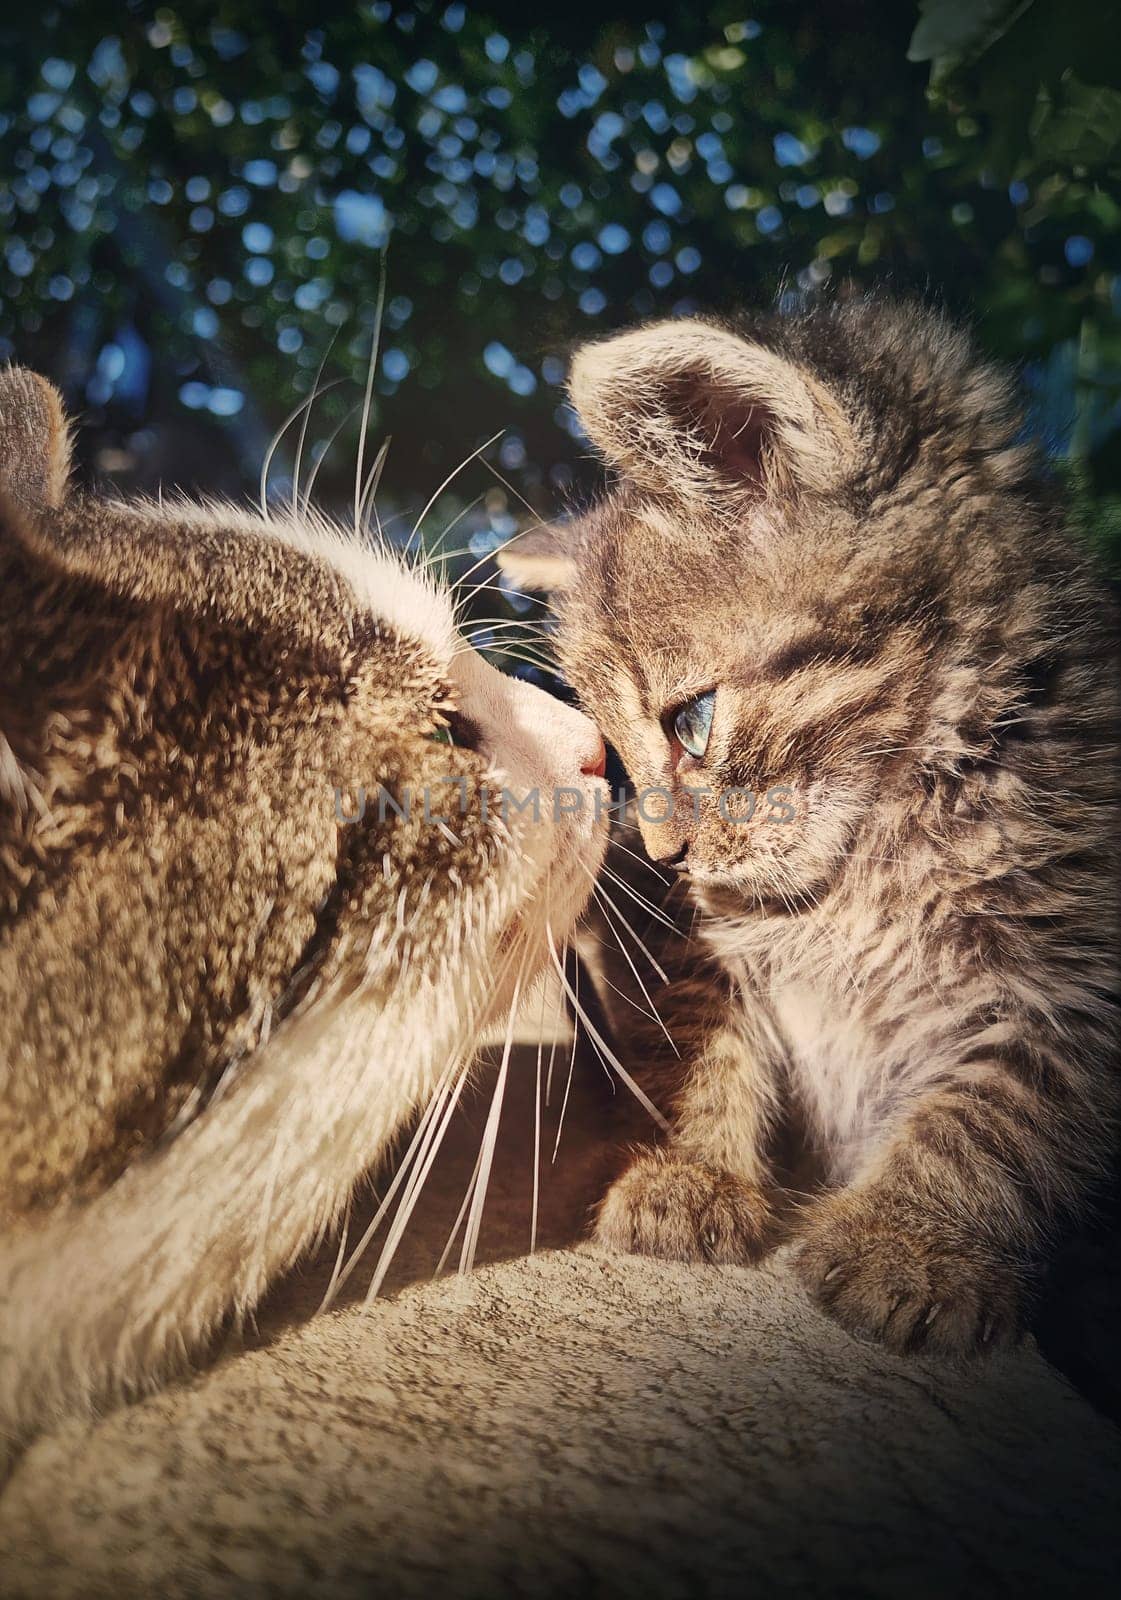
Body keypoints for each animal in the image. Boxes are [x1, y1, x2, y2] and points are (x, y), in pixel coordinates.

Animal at [502, 297, 1119, 1350]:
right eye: (618, 756)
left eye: (693, 721)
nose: (668, 850)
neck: (885, 835)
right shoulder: (669, 927)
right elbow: (695, 1039)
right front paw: (694, 1172)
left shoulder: (1076, 975)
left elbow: (1002, 1106)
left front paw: (910, 1241)